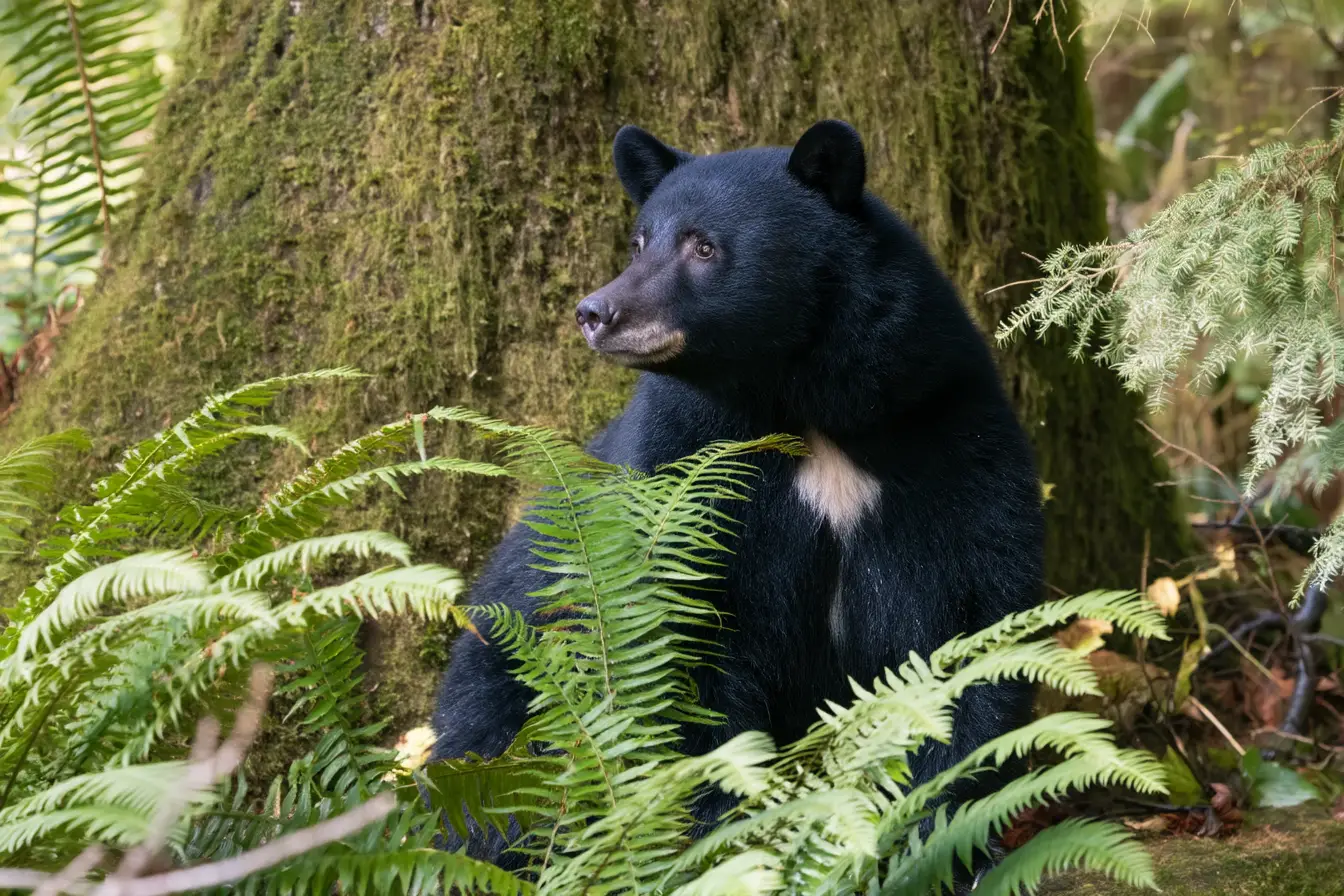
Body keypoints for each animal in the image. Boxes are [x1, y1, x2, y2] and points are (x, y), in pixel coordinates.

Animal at [429, 119, 1045, 881]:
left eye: (704, 246)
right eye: (640, 239)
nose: (596, 312)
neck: (805, 408)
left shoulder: (946, 437)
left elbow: (969, 618)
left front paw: (943, 831)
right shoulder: (681, 466)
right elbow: (685, 647)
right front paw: (722, 841)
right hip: (506, 697)